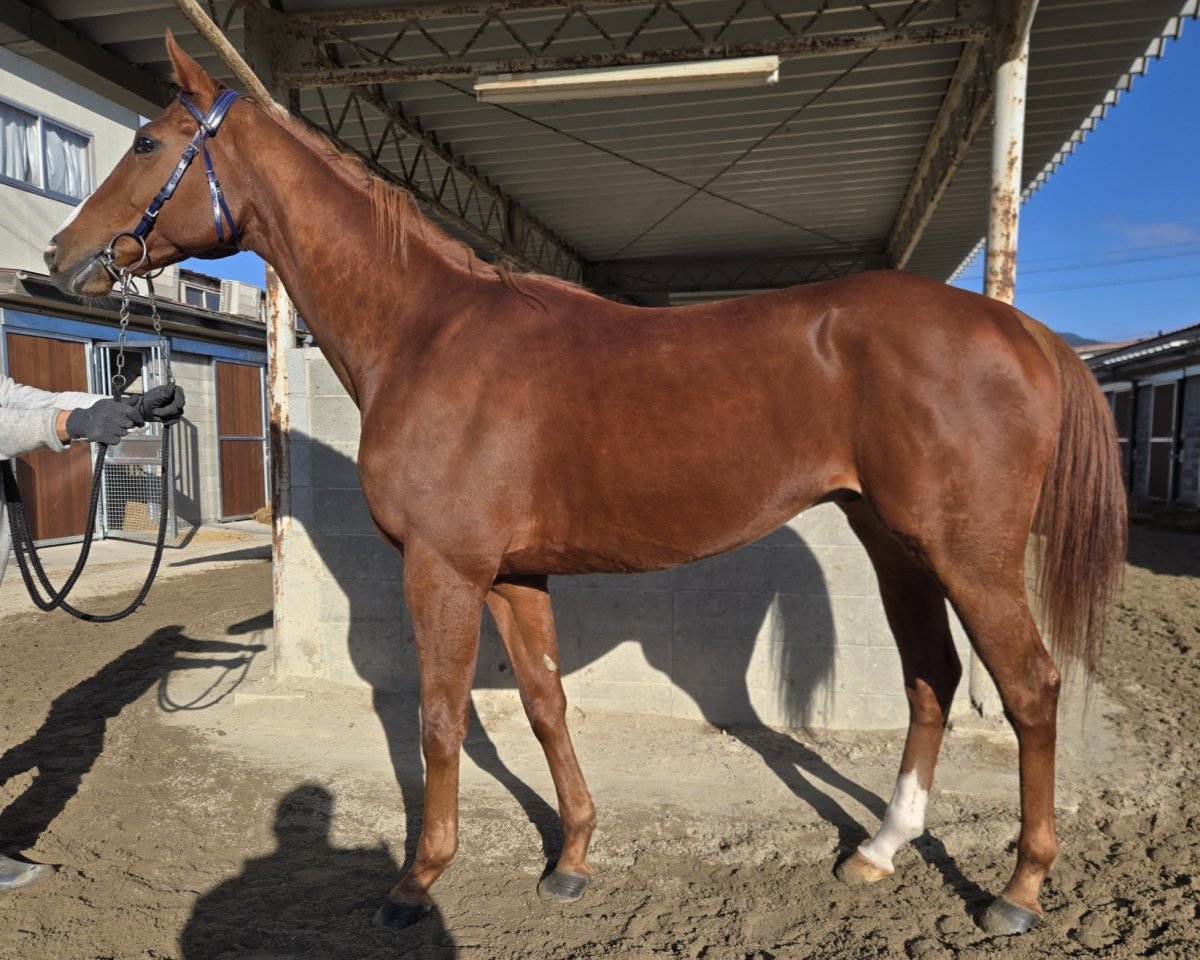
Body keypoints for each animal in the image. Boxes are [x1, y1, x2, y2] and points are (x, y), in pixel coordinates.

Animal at [44, 32, 1126, 938]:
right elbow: (543, 703)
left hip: (967, 554)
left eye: (147, 141)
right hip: (895, 544)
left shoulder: (444, 570)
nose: (62, 255)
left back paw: (1020, 890)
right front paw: (571, 857)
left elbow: (441, 720)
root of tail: (1019, 329)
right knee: (932, 679)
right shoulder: (514, 575)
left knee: (1028, 688)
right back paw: (881, 850)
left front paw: (416, 882)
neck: (426, 335)